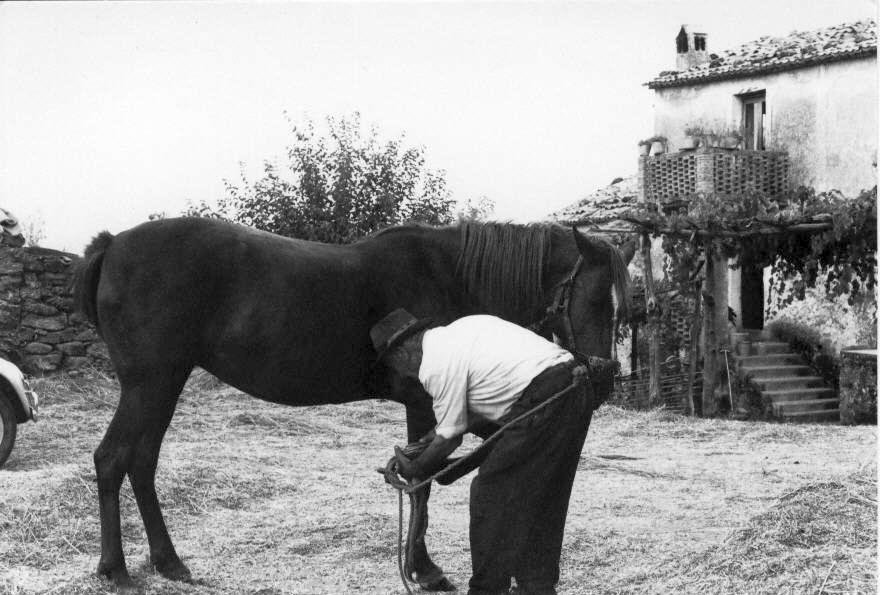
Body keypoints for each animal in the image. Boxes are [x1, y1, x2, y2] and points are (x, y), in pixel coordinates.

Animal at [72, 218, 628, 592]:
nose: (603, 379)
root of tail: (113, 244)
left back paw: (167, 562)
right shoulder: (425, 401)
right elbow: (423, 486)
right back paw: (117, 570)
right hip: (150, 385)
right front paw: (425, 570)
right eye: (596, 299)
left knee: (142, 464)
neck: (446, 274)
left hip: (162, 386)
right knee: (113, 460)